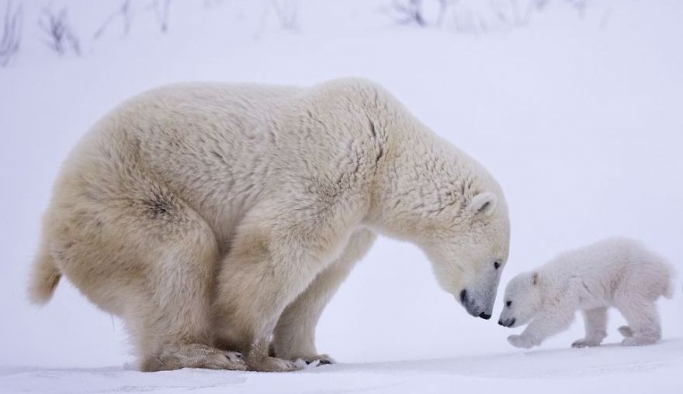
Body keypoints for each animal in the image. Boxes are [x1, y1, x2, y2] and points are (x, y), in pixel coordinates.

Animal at [29, 77, 510, 372]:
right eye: (498, 262)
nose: (485, 312)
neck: (387, 152)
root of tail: (52, 222)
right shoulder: (333, 168)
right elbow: (278, 247)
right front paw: (261, 355)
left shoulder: (358, 220)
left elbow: (321, 279)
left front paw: (313, 355)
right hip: (122, 197)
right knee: (178, 249)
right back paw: (203, 353)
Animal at [500, 237, 676, 348]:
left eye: (508, 302)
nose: (500, 321)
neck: (547, 281)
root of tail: (666, 271)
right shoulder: (590, 296)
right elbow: (594, 315)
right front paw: (583, 342)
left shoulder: (565, 289)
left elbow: (555, 316)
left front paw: (516, 339)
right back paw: (626, 330)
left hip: (633, 275)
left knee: (630, 300)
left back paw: (637, 339)